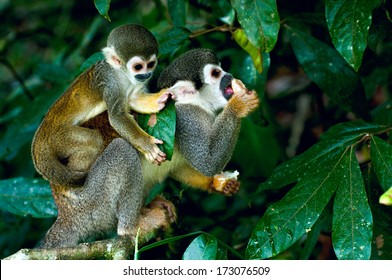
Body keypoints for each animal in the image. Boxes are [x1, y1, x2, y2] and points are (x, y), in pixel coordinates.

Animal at [31, 23, 170, 188]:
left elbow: (133, 99)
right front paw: (147, 144)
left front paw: (159, 99)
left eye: (150, 65)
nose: (146, 75)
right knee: (94, 140)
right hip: (59, 138)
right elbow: (117, 117)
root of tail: (41, 135)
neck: (122, 74)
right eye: (138, 67)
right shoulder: (109, 82)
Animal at [37, 48, 260, 249]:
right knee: (122, 150)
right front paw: (239, 105)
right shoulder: (186, 119)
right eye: (216, 73)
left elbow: (180, 167)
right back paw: (130, 227)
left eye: (221, 69)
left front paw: (217, 183)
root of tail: (66, 214)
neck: (197, 103)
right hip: (92, 205)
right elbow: (207, 161)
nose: (229, 76)